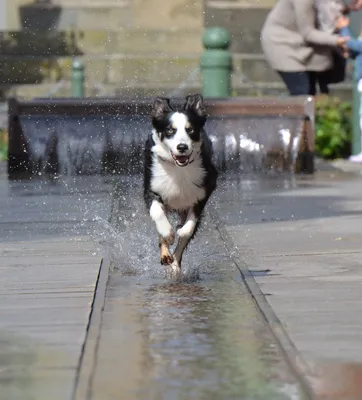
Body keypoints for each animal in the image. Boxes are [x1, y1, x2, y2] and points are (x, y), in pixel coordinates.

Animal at [144, 94, 218, 276]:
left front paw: (180, 230)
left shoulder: (205, 188)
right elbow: (157, 213)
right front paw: (168, 233)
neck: (178, 169)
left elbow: (188, 228)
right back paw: (166, 255)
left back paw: (174, 265)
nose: (182, 147)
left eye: (190, 130)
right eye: (170, 130)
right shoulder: (151, 188)